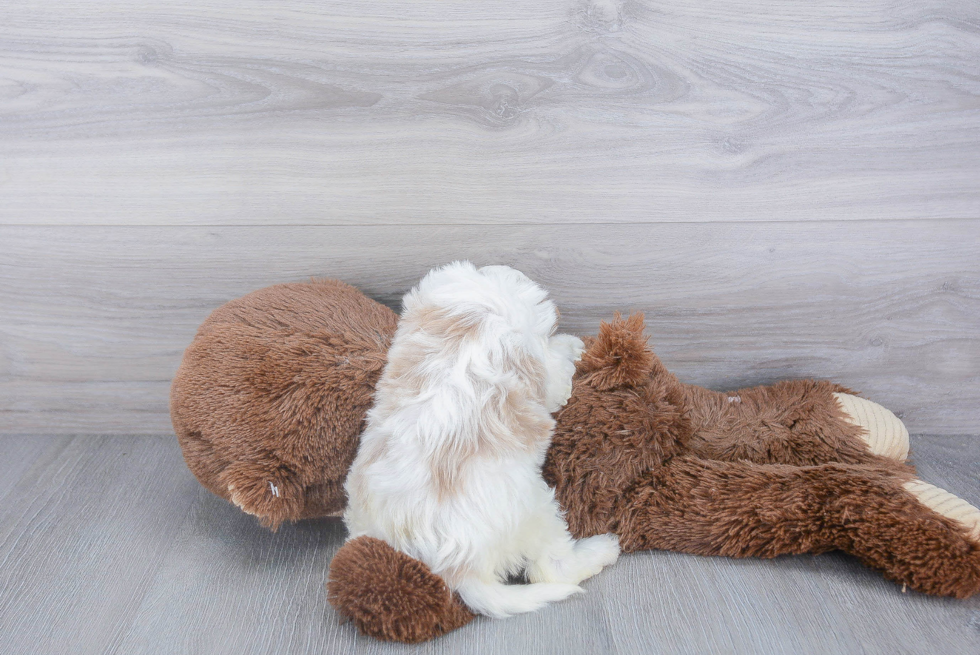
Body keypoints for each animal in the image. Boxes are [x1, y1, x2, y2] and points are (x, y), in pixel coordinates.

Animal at [344, 262, 620, 620]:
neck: (476, 315)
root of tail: (454, 567)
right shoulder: (540, 360)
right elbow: (557, 368)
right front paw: (573, 346)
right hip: (538, 510)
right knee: (552, 569)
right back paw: (602, 549)